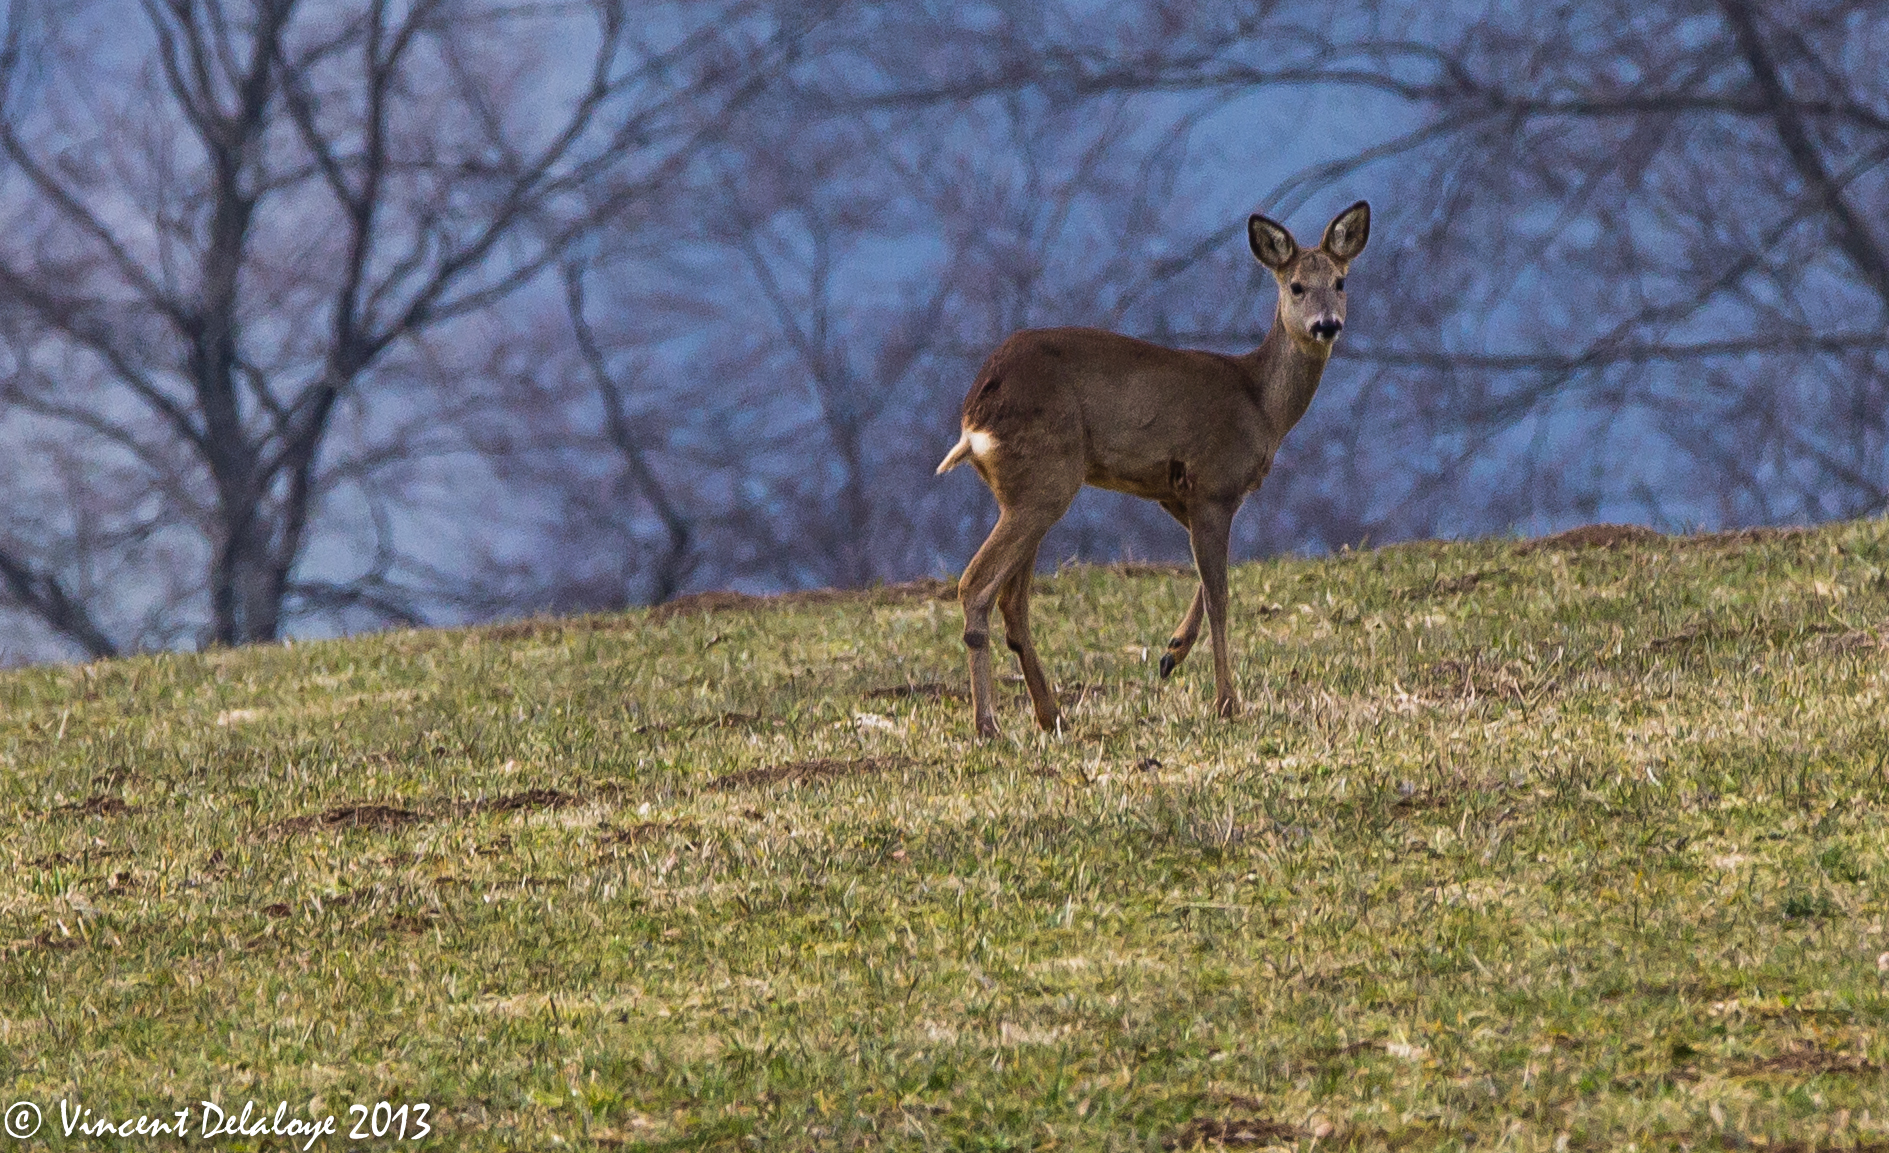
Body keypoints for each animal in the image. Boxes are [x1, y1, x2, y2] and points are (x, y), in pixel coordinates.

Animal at [934, 201, 1369, 737]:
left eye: (1340, 281)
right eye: (1296, 286)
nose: (1326, 324)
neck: (1261, 405)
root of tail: (974, 415)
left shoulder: (1176, 494)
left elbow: (1210, 580)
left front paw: (1172, 652)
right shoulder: (1214, 484)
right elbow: (1221, 594)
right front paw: (1228, 702)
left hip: (1024, 490)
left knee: (1012, 601)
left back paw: (1050, 714)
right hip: (1046, 479)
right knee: (977, 586)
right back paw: (989, 724)